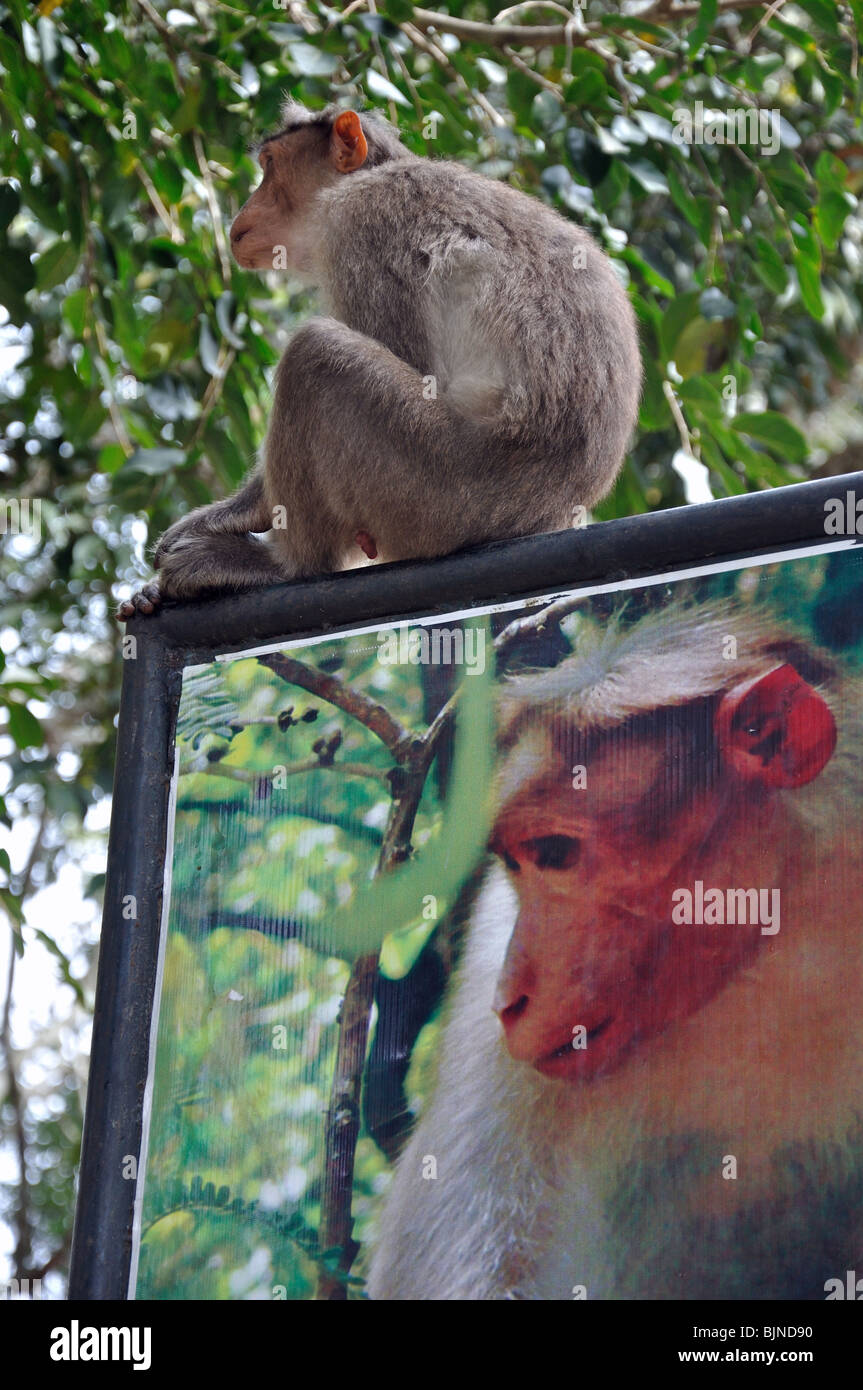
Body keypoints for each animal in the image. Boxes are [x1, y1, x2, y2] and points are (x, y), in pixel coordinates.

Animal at [116, 102, 639, 614]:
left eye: (269, 166)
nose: (243, 212)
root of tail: (554, 510)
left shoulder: (363, 218)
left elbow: (413, 361)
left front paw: (244, 512)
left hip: (443, 492)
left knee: (316, 353)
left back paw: (282, 566)